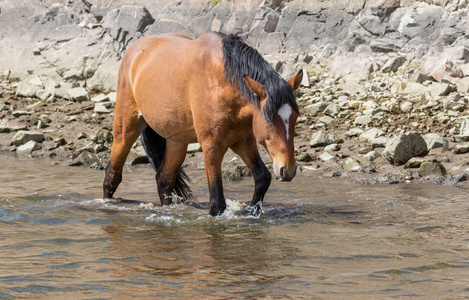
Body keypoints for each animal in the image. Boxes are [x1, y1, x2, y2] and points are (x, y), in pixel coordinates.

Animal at [101, 32, 304, 216]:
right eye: (269, 119)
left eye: (295, 117)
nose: (288, 169)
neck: (222, 82)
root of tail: (136, 50)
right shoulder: (211, 147)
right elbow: (217, 203)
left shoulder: (243, 141)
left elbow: (262, 177)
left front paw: (253, 211)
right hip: (125, 130)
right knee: (112, 176)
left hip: (177, 141)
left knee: (164, 180)